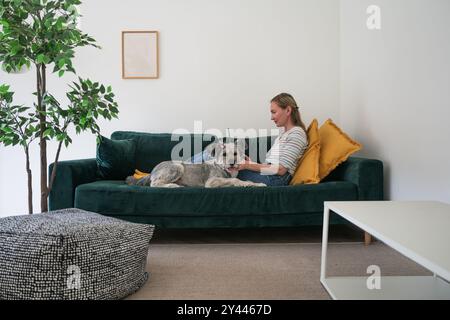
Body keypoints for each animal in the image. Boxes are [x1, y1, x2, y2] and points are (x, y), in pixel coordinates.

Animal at [125, 139, 266, 188]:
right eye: (224, 154)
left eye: (236, 154)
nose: (232, 163)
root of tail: (153, 170)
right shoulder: (211, 182)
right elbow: (234, 180)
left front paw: (257, 184)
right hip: (177, 166)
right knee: (154, 184)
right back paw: (173, 186)